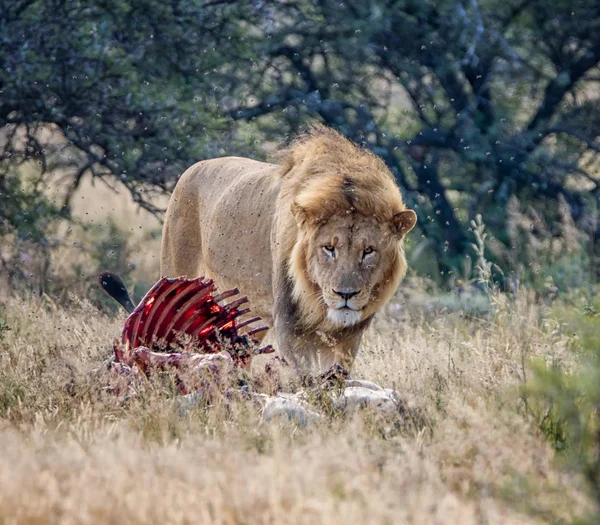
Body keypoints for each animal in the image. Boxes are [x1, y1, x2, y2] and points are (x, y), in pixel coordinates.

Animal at [159, 126, 418, 372]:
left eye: (368, 251)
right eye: (329, 248)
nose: (346, 295)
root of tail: (193, 167)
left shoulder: (349, 337)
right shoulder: (289, 327)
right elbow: (304, 377)